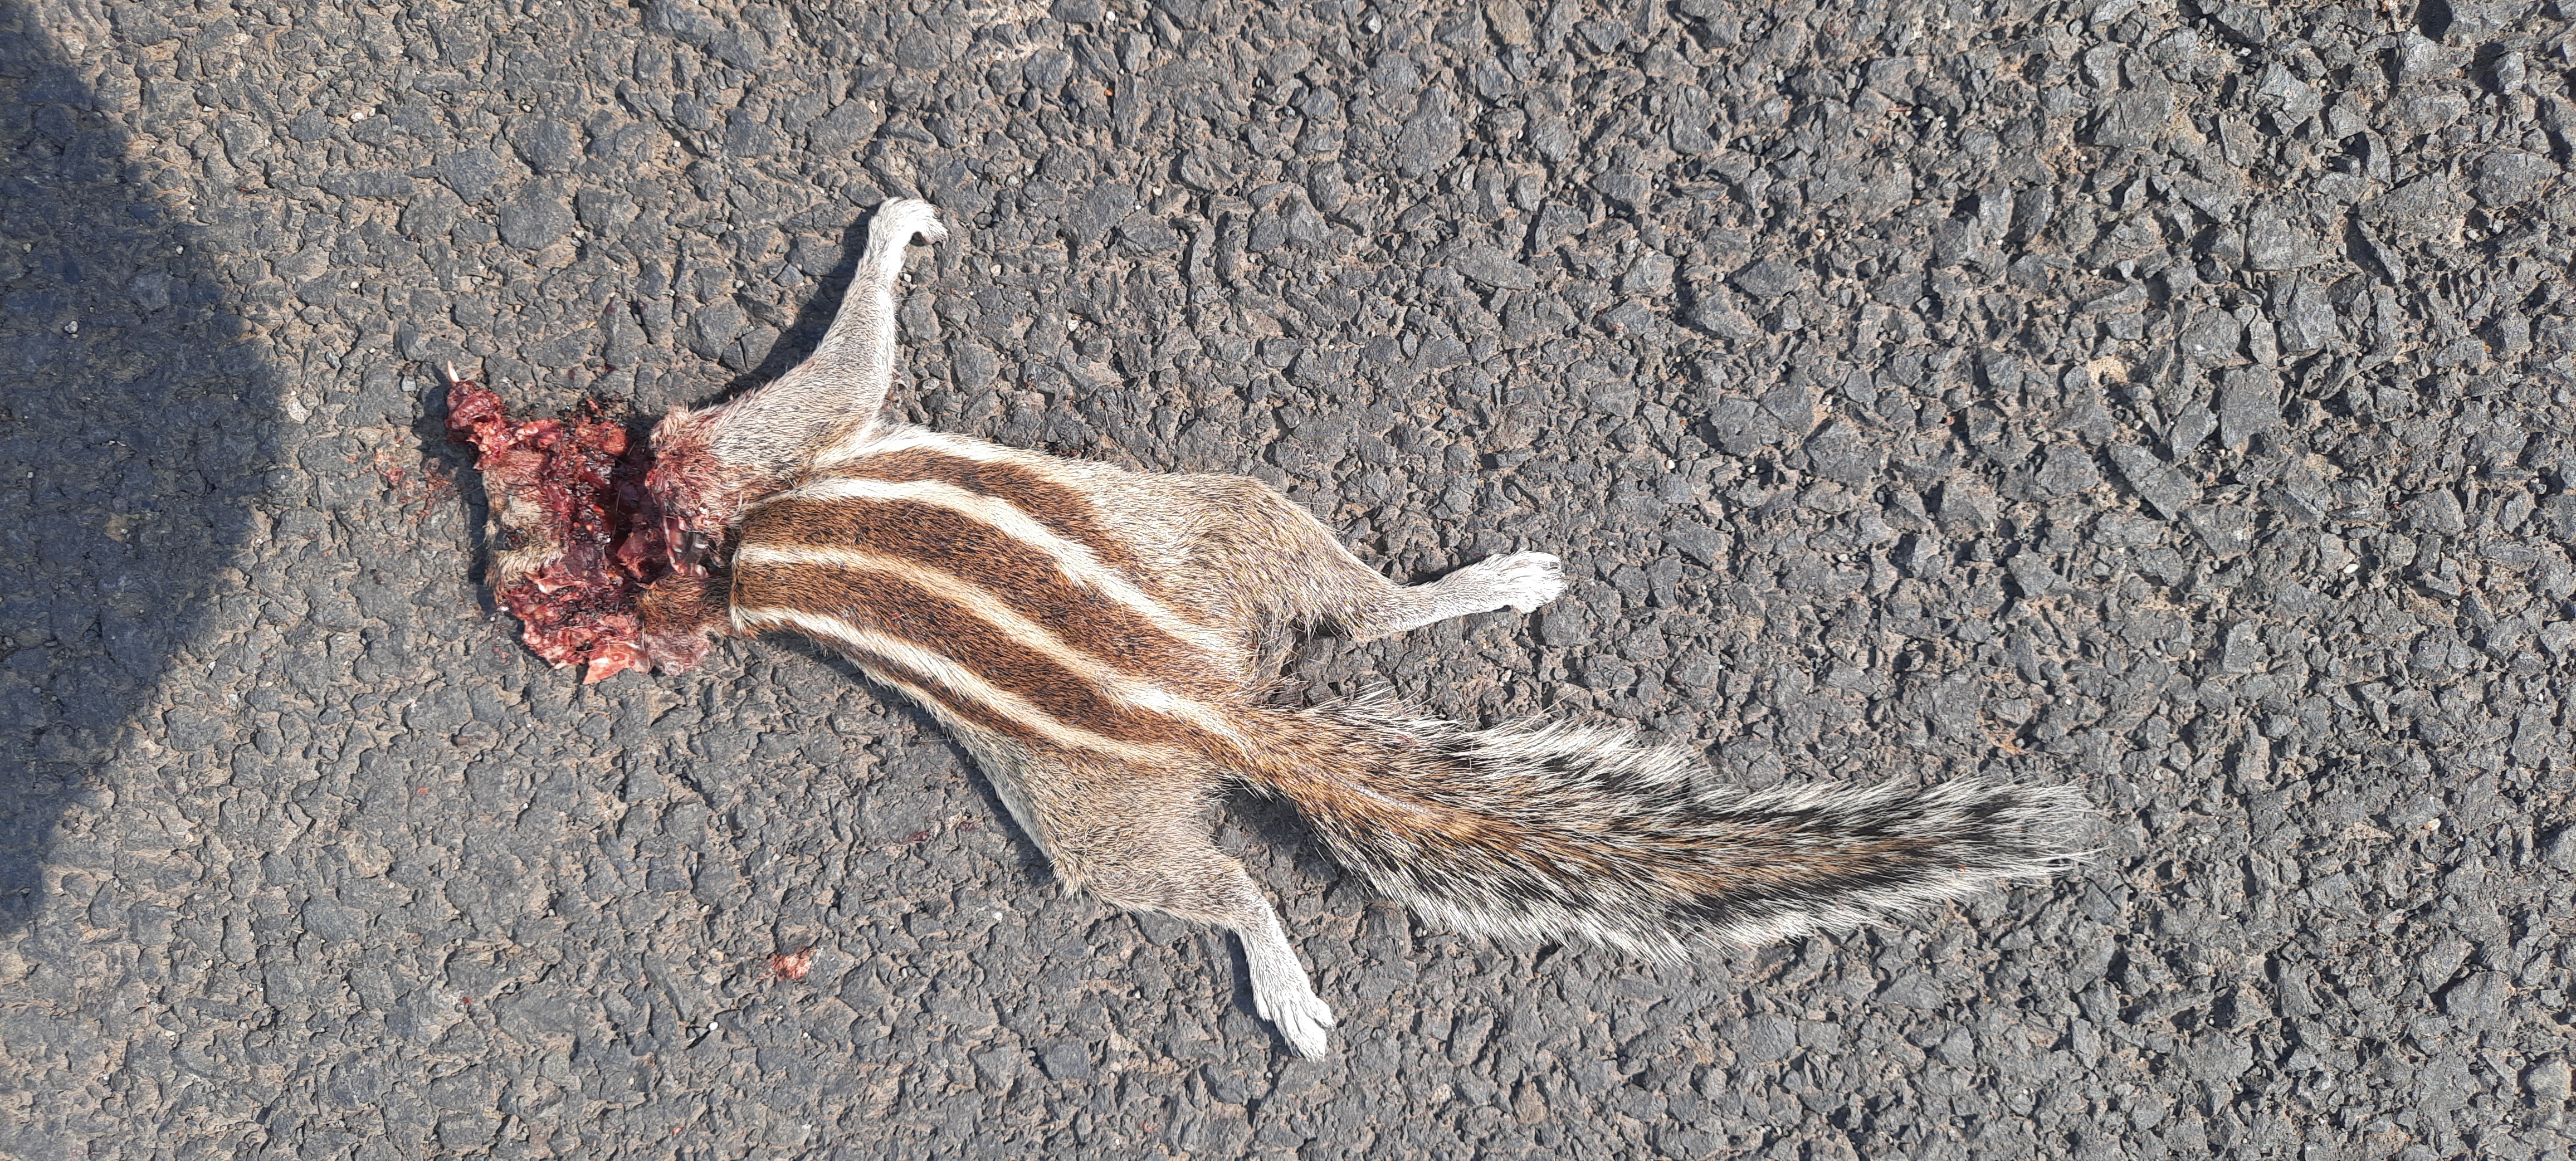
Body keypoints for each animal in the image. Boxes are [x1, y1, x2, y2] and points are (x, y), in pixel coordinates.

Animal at [448, 199, 2088, 1058]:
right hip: (1108, 793)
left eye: (510, 513)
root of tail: (1203, 701)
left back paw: (1485, 587)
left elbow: (848, 358)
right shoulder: (755, 463)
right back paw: (1290, 978)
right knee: (1231, 864)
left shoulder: (757, 452)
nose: (490, 576)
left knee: (1356, 618)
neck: (704, 544)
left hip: (1214, 531)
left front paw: (892, 232)